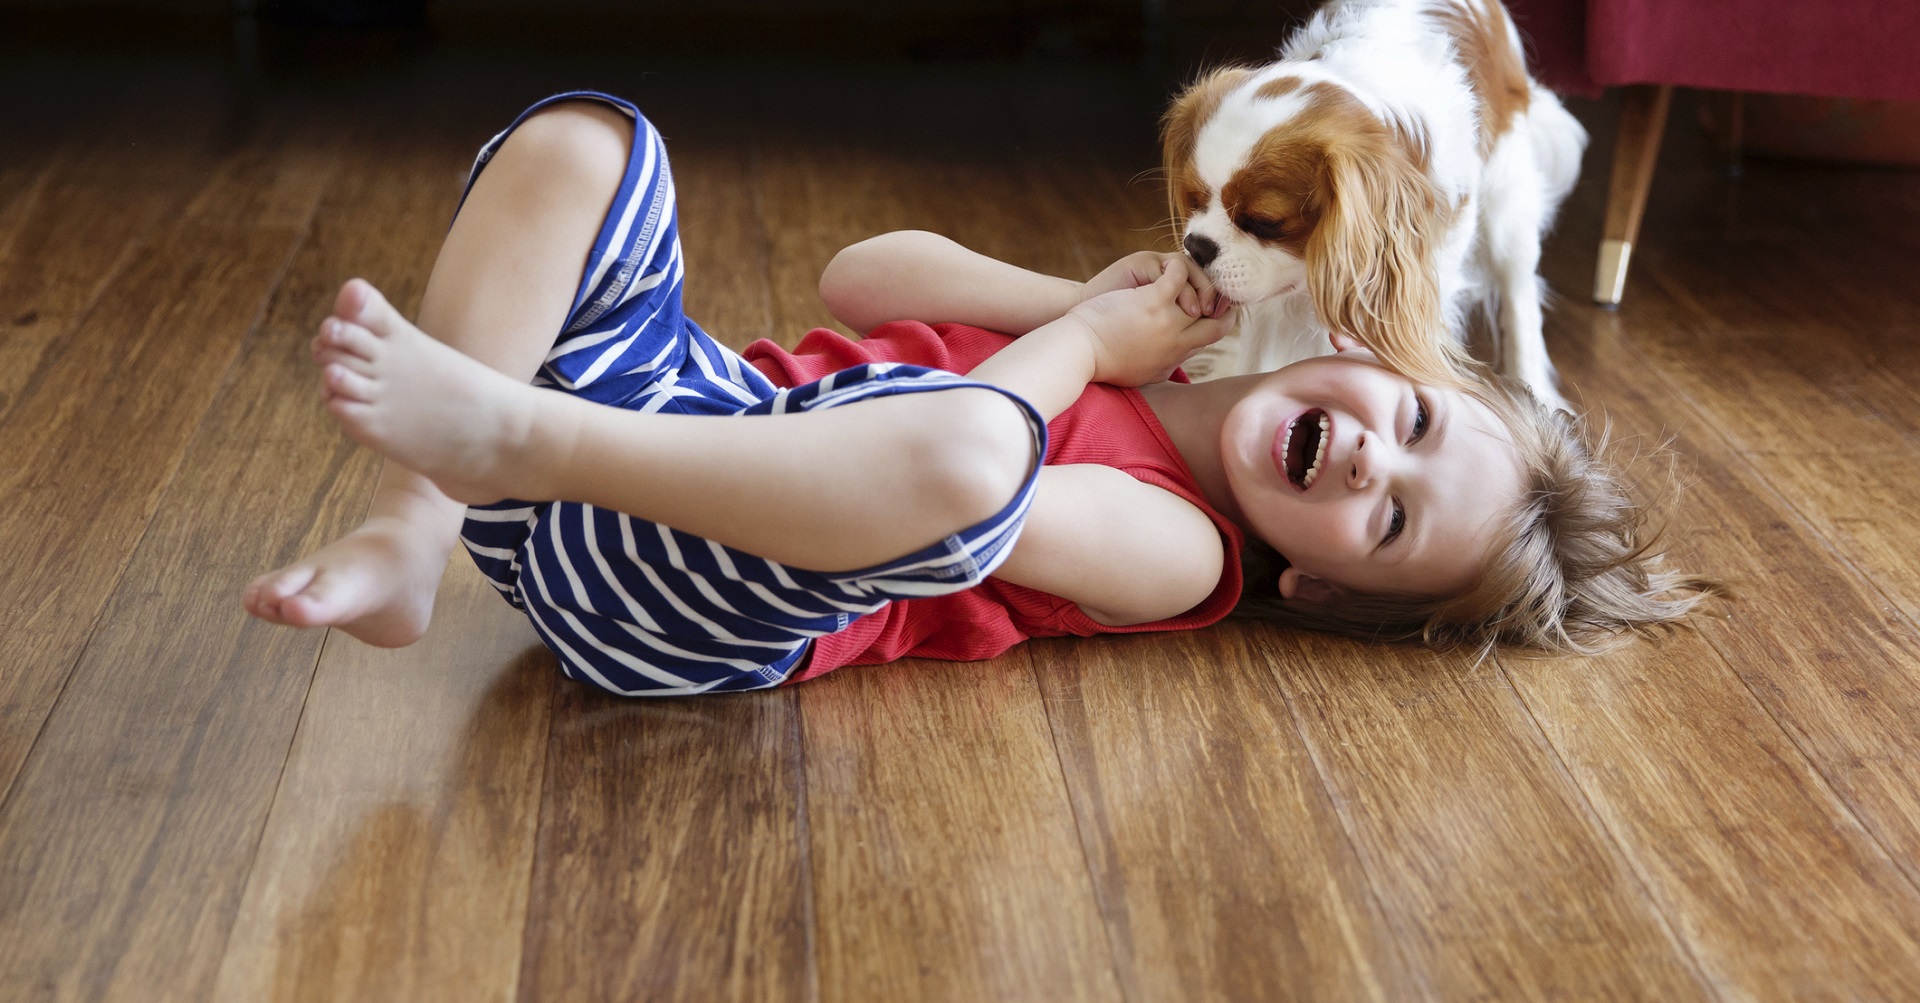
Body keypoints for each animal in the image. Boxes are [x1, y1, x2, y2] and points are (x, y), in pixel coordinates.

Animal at [1152, 0, 1589, 407]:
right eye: (1194, 200)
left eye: (1264, 222)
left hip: (1507, 204)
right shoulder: (1272, 300)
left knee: (1519, 293)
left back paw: (1535, 389)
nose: (1196, 247)